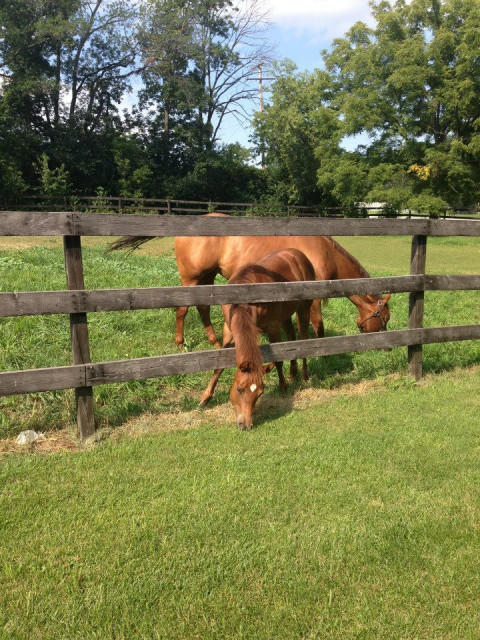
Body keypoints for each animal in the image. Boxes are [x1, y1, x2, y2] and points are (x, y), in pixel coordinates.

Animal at [109, 214, 390, 344]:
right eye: (385, 318)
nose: (384, 344)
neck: (323, 252)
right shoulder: (313, 298)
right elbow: (317, 325)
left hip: (207, 278)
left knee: (203, 308)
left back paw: (214, 341)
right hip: (191, 279)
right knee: (182, 310)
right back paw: (181, 344)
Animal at [199, 249, 316, 430]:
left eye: (260, 393)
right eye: (239, 389)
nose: (245, 425)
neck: (242, 302)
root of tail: (298, 254)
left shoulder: (273, 327)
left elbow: (278, 361)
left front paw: (283, 386)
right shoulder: (229, 331)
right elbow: (219, 366)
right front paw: (205, 398)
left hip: (303, 308)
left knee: (303, 339)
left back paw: (303, 375)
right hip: (285, 316)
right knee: (291, 338)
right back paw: (293, 374)